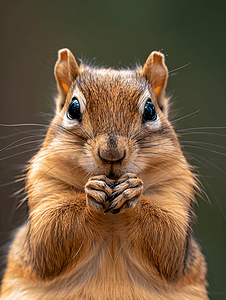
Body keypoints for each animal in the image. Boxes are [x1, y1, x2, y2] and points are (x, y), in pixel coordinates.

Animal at [0, 49, 208, 300]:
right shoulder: (44, 182)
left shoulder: (176, 186)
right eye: (72, 109)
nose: (112, 154)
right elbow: (47, 240)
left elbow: (171, 243)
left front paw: (132, 193)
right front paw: (90, 194)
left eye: (150, 110)